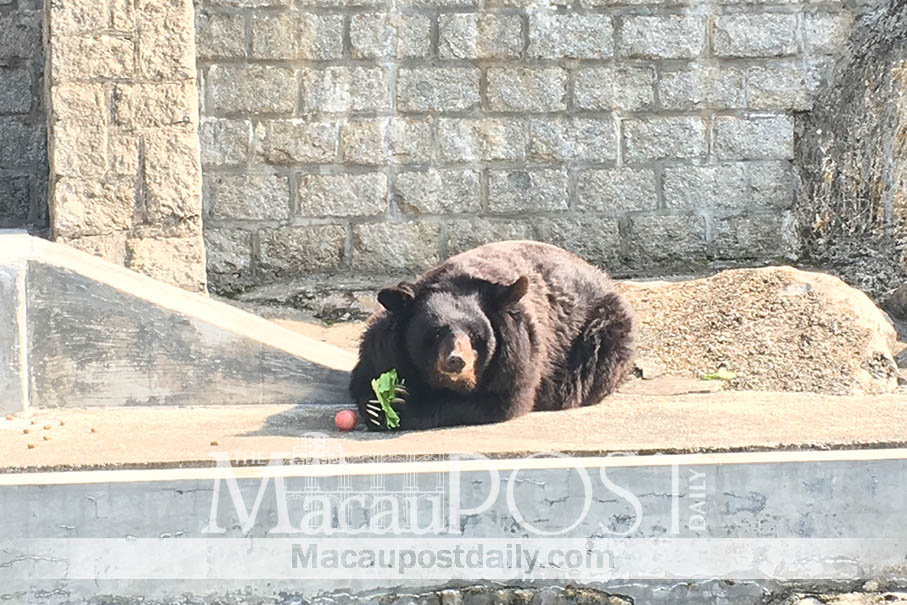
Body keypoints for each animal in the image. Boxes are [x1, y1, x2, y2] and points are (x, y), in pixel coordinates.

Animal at [349, 241, 635, 431]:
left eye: (476, 336)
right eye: (436, 333)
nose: (456, 361)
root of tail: (603, 276)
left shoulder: (519, 353)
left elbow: (501, 400)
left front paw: (404, 404)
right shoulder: (385, 347)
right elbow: (366, 375)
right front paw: (378, 405)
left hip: (598, 334)